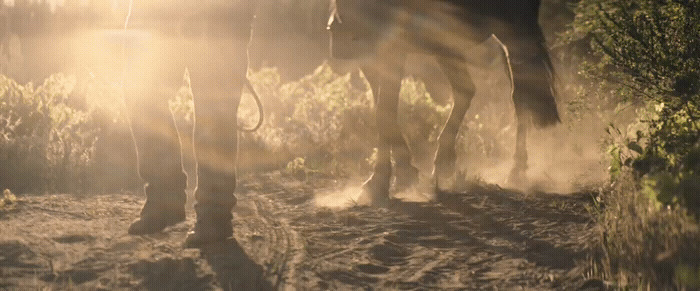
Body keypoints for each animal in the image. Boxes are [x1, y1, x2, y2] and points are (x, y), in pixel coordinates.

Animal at [328, 0, 564, 205]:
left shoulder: (392, 49)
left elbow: (384, 113)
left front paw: (379, 183)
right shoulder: (371, 55)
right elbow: (384, 114)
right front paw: (403, 173)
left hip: (513, 32)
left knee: (520, 96)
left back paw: (514, 172)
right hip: (449, 44)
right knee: (473, 90)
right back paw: (445, 164)